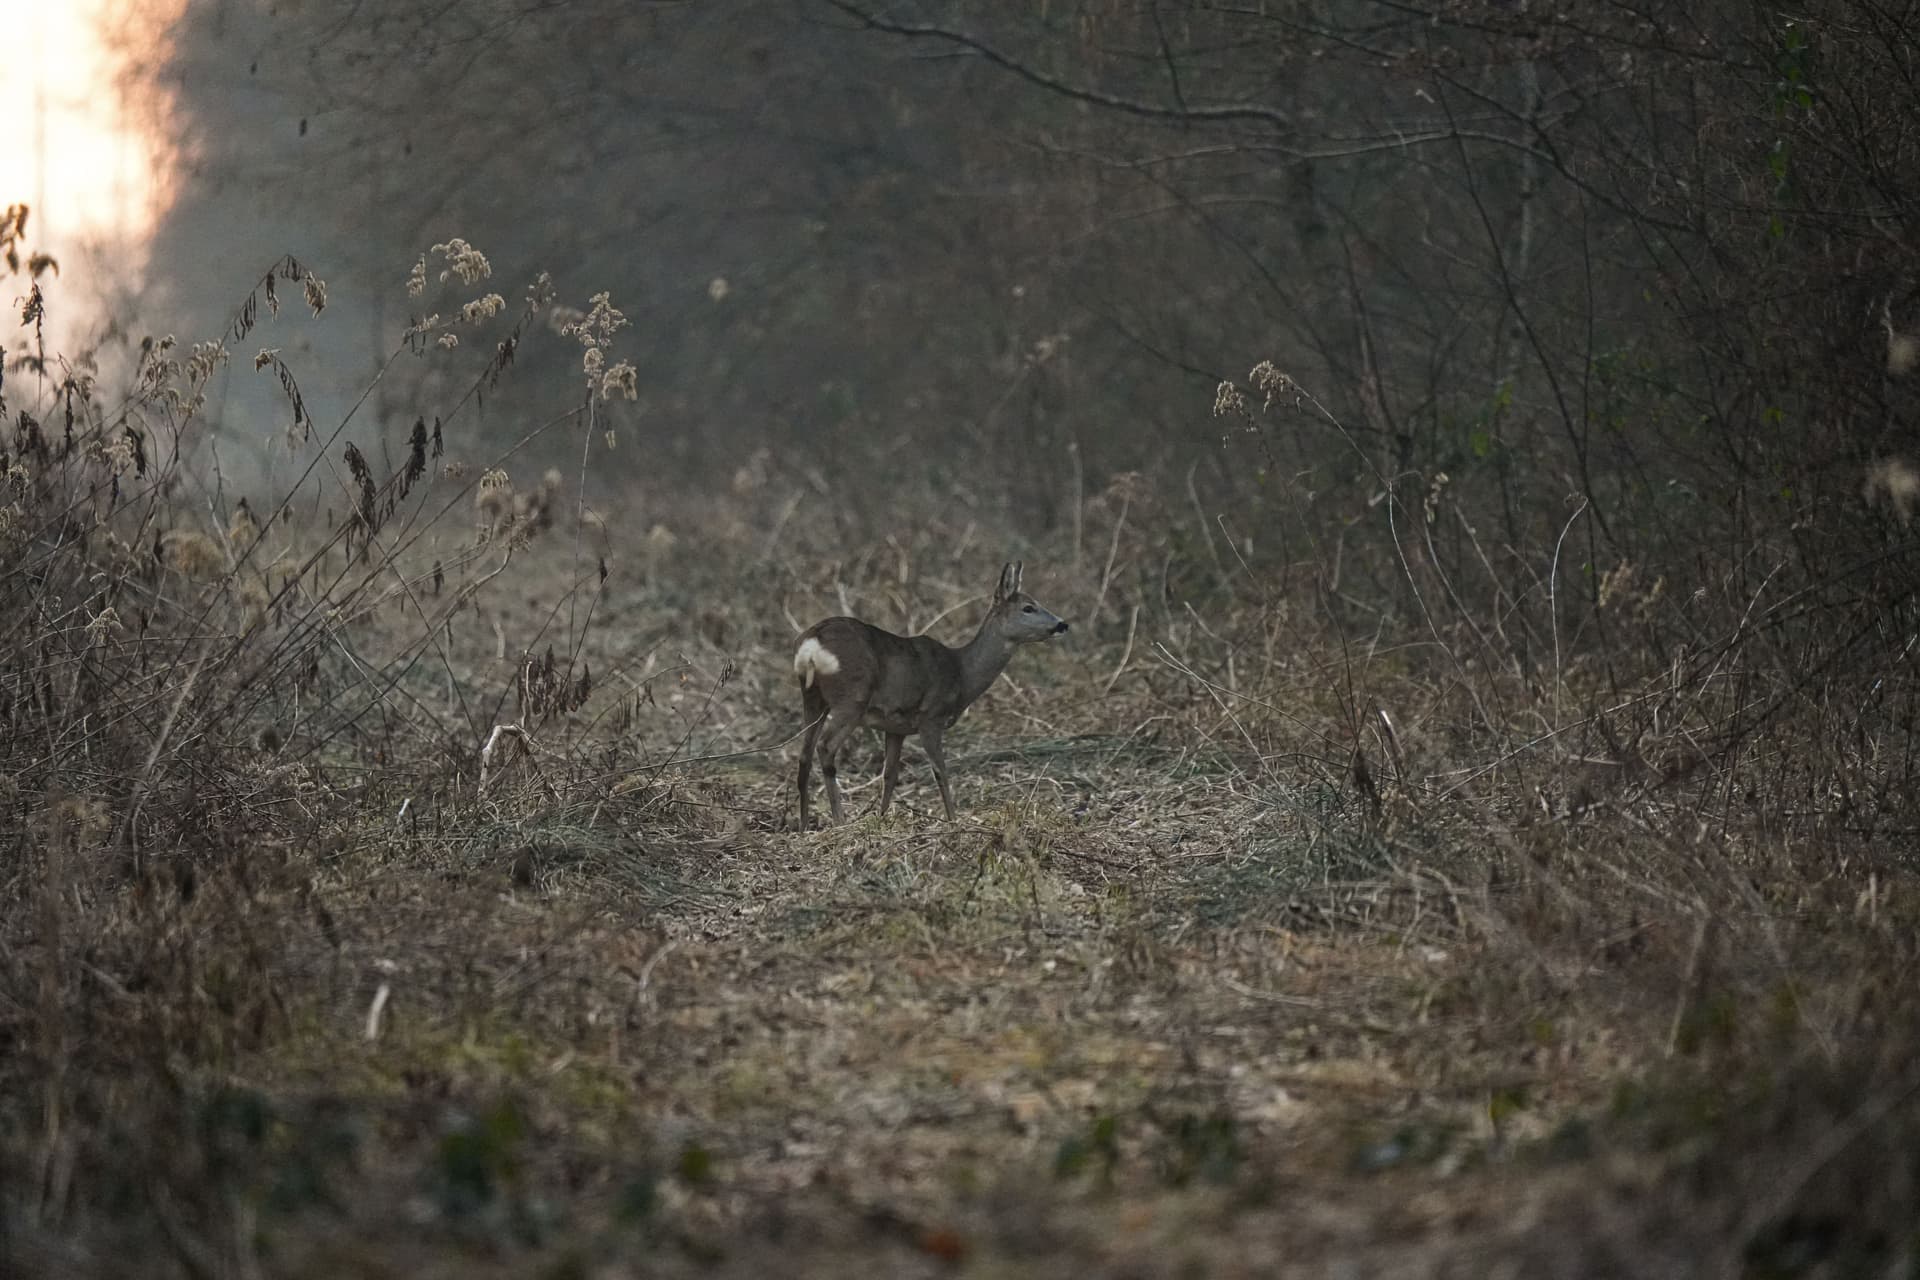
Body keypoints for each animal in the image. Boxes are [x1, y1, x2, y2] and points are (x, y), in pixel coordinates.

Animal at [792, 562, 1069, 829]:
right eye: (1028, 607)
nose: (1062, 624)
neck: (961, 673)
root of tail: (812, 645)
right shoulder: (931, 717)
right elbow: (941, 773)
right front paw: (954, 823)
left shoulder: (896, 728)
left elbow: (889, 775)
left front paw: (881, 821)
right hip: (852, 698)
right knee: (825, 747)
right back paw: (839, 821)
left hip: (812, 698)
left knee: (804, 755)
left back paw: (804, 824)